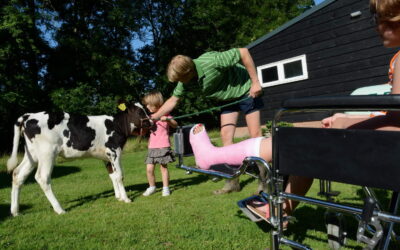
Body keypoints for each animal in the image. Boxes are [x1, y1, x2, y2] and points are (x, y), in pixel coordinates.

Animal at [7, 102, 152, 216]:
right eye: (139, 111)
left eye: (146, 109)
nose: (151, 122)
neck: (117, 125)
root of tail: (28, 115)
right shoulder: (114, 151)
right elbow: (120, 175)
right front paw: (126, 199)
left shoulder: (106, 156)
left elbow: (113, 176)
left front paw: (118, 196)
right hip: (47, 153)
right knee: (42, 178)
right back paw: (59, 209)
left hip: (32, 154)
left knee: (17, 174)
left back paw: (15, 211)